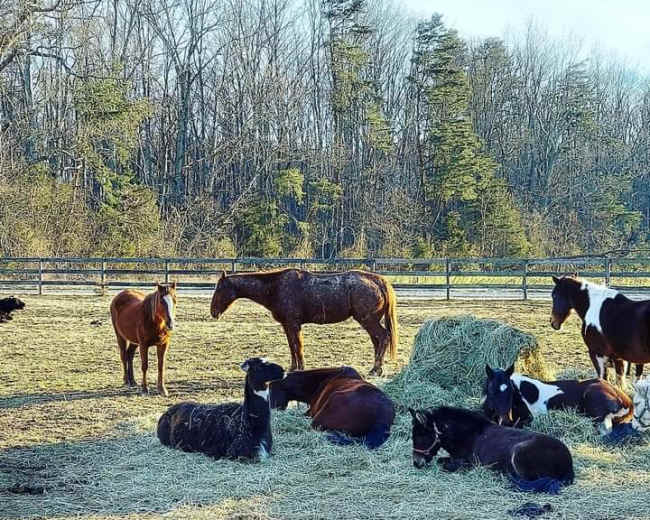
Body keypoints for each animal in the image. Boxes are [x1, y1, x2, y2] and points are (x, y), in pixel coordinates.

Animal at [210, 269, 398, 375]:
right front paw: (294, 367)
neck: (275, 288)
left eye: (220, 289)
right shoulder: (287, 326)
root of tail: (379, 281)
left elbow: (297, 346)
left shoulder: (293, 324)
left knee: (383, 337)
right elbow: (292, 347)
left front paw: (301, 367)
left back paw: (375, 369)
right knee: (377, 341)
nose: (213, 312)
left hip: (368, 320)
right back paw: (377, 368)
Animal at [409, 406, 574, 494]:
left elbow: (444, 463)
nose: (416, 463)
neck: (469, 433)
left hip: (518, 452)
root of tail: (568, 464)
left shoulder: (468, 463)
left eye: (421, 436)